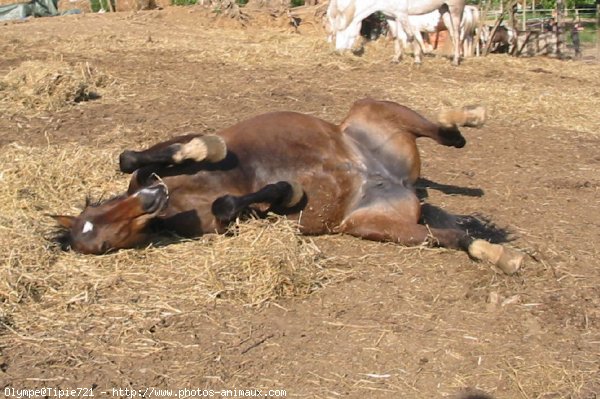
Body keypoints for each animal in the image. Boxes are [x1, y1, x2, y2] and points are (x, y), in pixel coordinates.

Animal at [54, 100, 524, 276]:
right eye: (100, 246)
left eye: (98, 210)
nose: (154, 198)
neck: (180, 200)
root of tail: (394, 181)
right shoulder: (228, 218)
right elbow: (238, 202)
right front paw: (291, 192)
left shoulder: (164, 153)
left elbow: (135, 156)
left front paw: (207, 147)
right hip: (382, 227)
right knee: (451, 236)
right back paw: (501, 256)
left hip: (373, 110)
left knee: (446, 134)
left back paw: (469, 116)